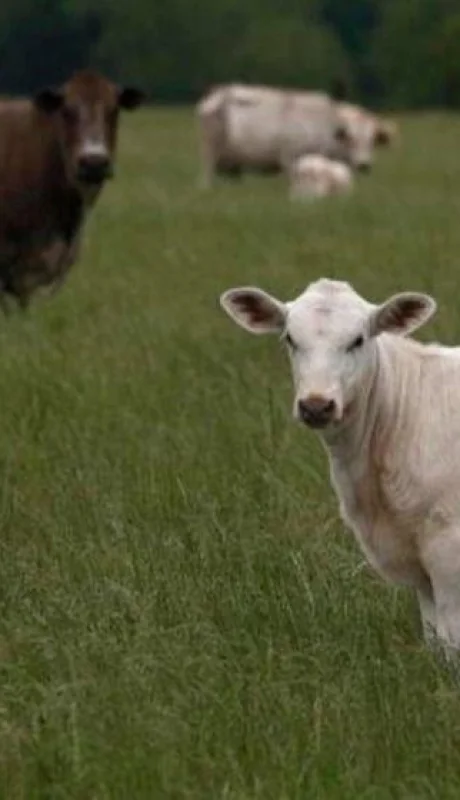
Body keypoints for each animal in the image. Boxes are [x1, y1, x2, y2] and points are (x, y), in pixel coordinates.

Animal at [220, 277, 460, 660]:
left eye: (358, 340)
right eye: (290, 338)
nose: (316, 405)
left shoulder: (448, 546)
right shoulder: (419, 565)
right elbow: (436, 640)